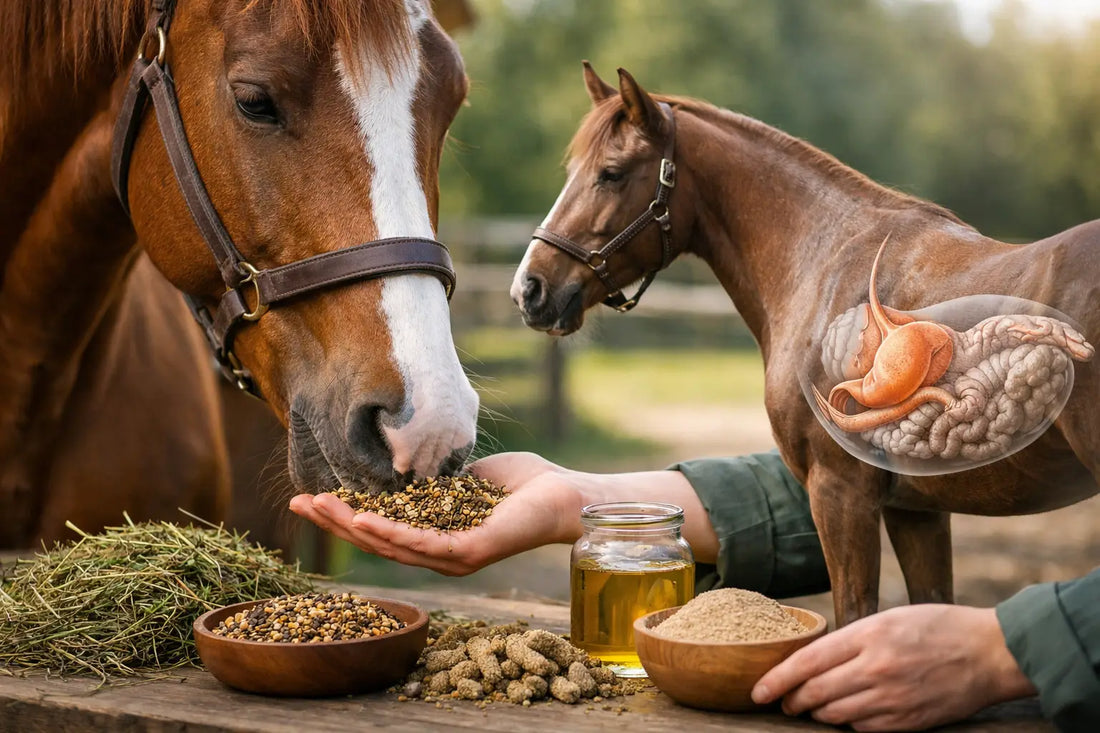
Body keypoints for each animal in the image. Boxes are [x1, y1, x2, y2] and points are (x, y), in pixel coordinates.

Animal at [512, 63, 1100, 626]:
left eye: (610, 174)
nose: (529, 289)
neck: (824, 264)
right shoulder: (916, 510)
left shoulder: (840, 493)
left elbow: (854, 617)